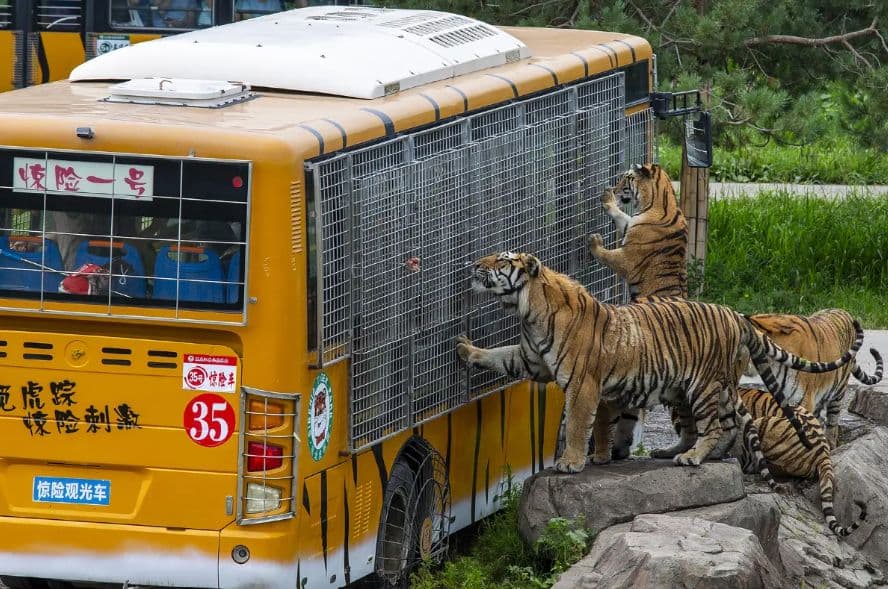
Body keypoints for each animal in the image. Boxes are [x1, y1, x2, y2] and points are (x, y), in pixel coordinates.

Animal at [455, 252, 863, 474]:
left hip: (702, 386)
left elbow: (579, 425)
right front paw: (465, 349)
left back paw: (692, 458)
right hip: (704, 389)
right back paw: (695, 454)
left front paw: (571, 462)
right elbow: (501, 356)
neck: (527, 311)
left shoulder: (582, 383)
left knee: (713, 426)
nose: (473, 263)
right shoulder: (531, 358)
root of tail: (736, 315)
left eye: (501, 260)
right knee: (726, 426)